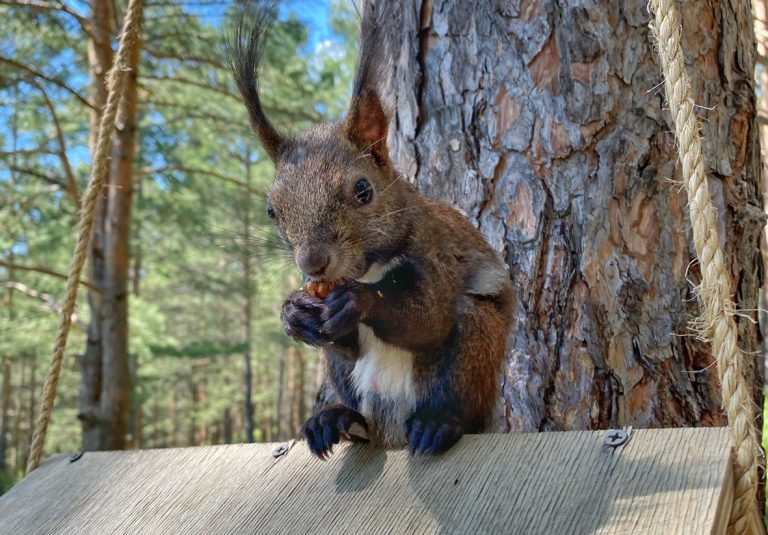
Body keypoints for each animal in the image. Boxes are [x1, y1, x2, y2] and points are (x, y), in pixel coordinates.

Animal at [228, 2, 516, 458]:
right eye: (272, 209)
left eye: (362, 190)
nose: (314, 263)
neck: (368, 269)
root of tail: (392, 432)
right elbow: (342, 337)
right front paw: (293, 313)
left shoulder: (435, 255)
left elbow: (429, 317)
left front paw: (360, 301)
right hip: (341, 374)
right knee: (352, 395)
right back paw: (337, 420)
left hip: (475, 343)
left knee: (460, 387)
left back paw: (439, 423)